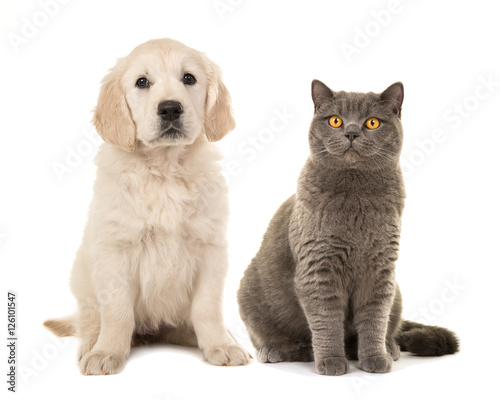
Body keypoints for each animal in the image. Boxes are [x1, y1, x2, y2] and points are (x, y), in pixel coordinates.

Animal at [44, 38, 250, 376]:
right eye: (142, 82)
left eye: (189, 78)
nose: (170, 108)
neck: (164, 170)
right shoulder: (115, 251)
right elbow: (117, 311)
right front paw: (107, 352)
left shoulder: (210, 247)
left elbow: (207, 306)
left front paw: (220, 345)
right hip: (82, 278)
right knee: (89, 319)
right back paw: (91, 344)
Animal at [236, 81, 458, 376]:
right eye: (335, 120)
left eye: (372, 122)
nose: (351, 132)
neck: (356, 199)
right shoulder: (319, 268)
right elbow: (326, 321)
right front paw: (331, 361)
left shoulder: (380, 270)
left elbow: (375, 319)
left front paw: (374, 358)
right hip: (248, 291)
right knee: (266, 335)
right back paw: (283, 350)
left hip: (396, 291)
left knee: (391, 326)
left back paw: (387, 348)